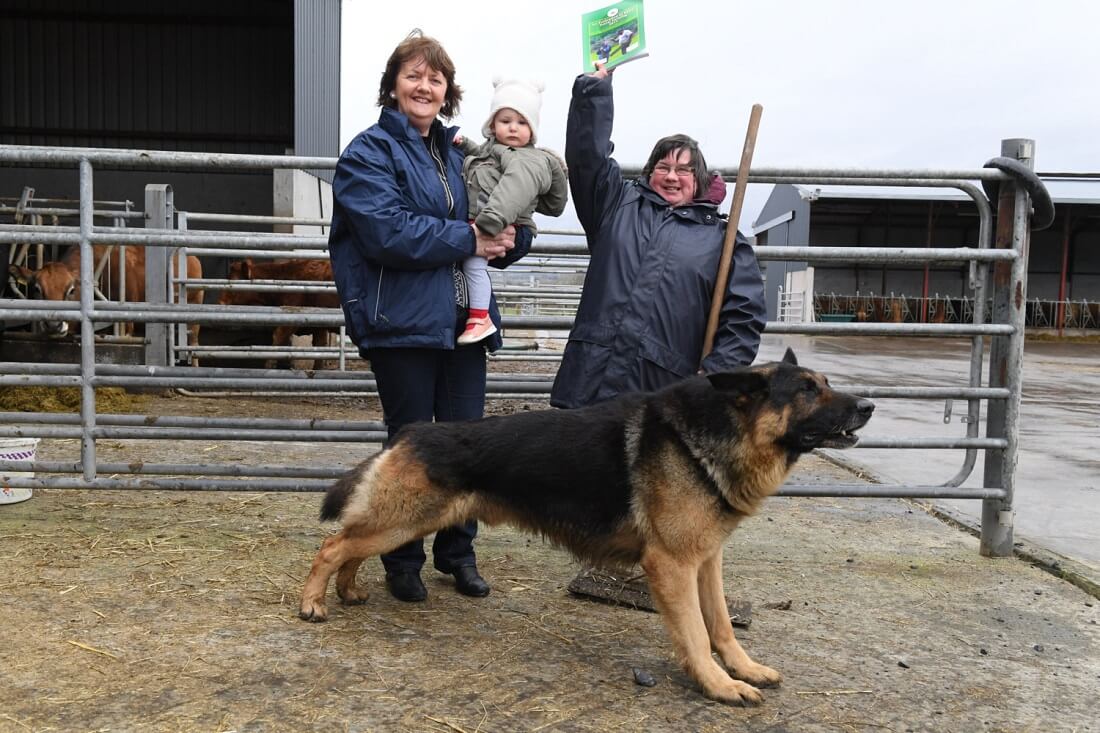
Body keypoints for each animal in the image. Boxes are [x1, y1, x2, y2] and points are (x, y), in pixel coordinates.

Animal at [299, 347, 866, 704]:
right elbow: (696, 633)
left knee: (351, 548)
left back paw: (348, 592)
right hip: (402, 522)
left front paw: (743, 669)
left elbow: (722, 625)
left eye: (826, 384)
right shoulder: (673, 566)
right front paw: (718, 685)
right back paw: (313, 604)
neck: (713, 433)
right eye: (808, 390)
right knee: (332, 544)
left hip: (405, 522)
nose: (868, 405)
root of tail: (411, 433)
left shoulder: (706, 560)